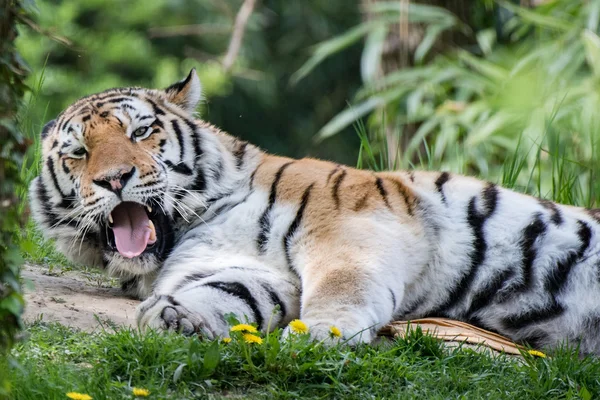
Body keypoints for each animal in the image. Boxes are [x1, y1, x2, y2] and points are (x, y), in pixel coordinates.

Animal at [29, 70, 600, 354]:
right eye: (78, 152)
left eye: (141, 132)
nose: (114, 179)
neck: (200, 222)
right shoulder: (246, 270)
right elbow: (229, 291)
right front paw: (178, 317)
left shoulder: (355, 228)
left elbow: (343, 286)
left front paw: (319, 337)